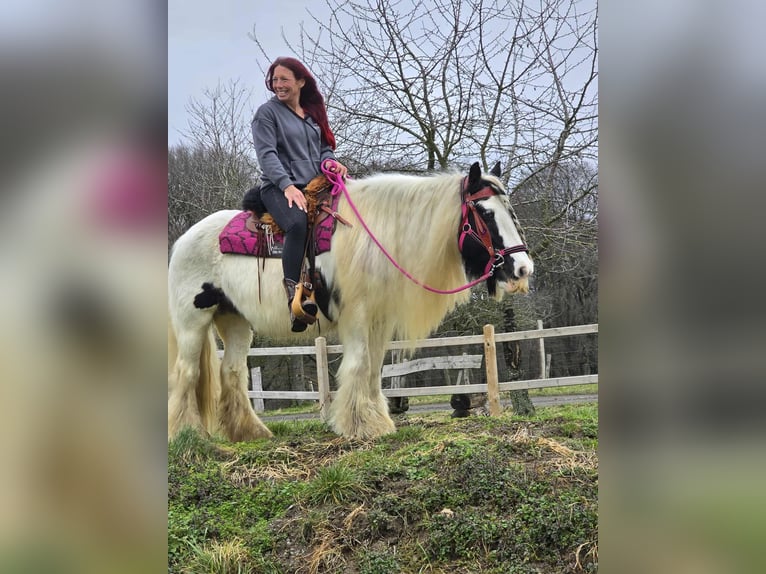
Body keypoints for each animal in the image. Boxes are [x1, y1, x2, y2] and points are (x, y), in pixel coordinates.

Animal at [168, 161, 533, 441]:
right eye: (485, 213)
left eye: (510, 211)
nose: (522, 268)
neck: (377, 235)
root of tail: (184, 239)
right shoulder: (356, 314)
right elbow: (359, 363)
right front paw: (362, 425)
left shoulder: (379, 318)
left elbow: (374, 368)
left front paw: (375, 419)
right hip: (193, 321)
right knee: (187, 371)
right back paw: (188, 433)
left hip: (236, 321)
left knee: (231, 371)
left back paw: (250, 433)